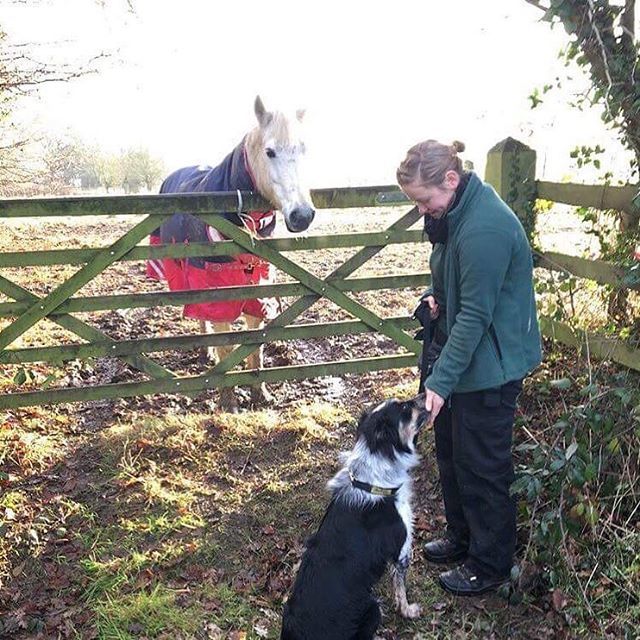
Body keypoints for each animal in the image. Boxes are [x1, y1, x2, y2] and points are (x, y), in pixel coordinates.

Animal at [148, 95, 315, 411]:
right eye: (269, 151)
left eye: (304, 149)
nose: (302, 215)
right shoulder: (217, 293)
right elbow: (226, 346)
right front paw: (228, 401)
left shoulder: (258, 290)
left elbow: (255, 346)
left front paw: (260, 393)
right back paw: (206, 351)